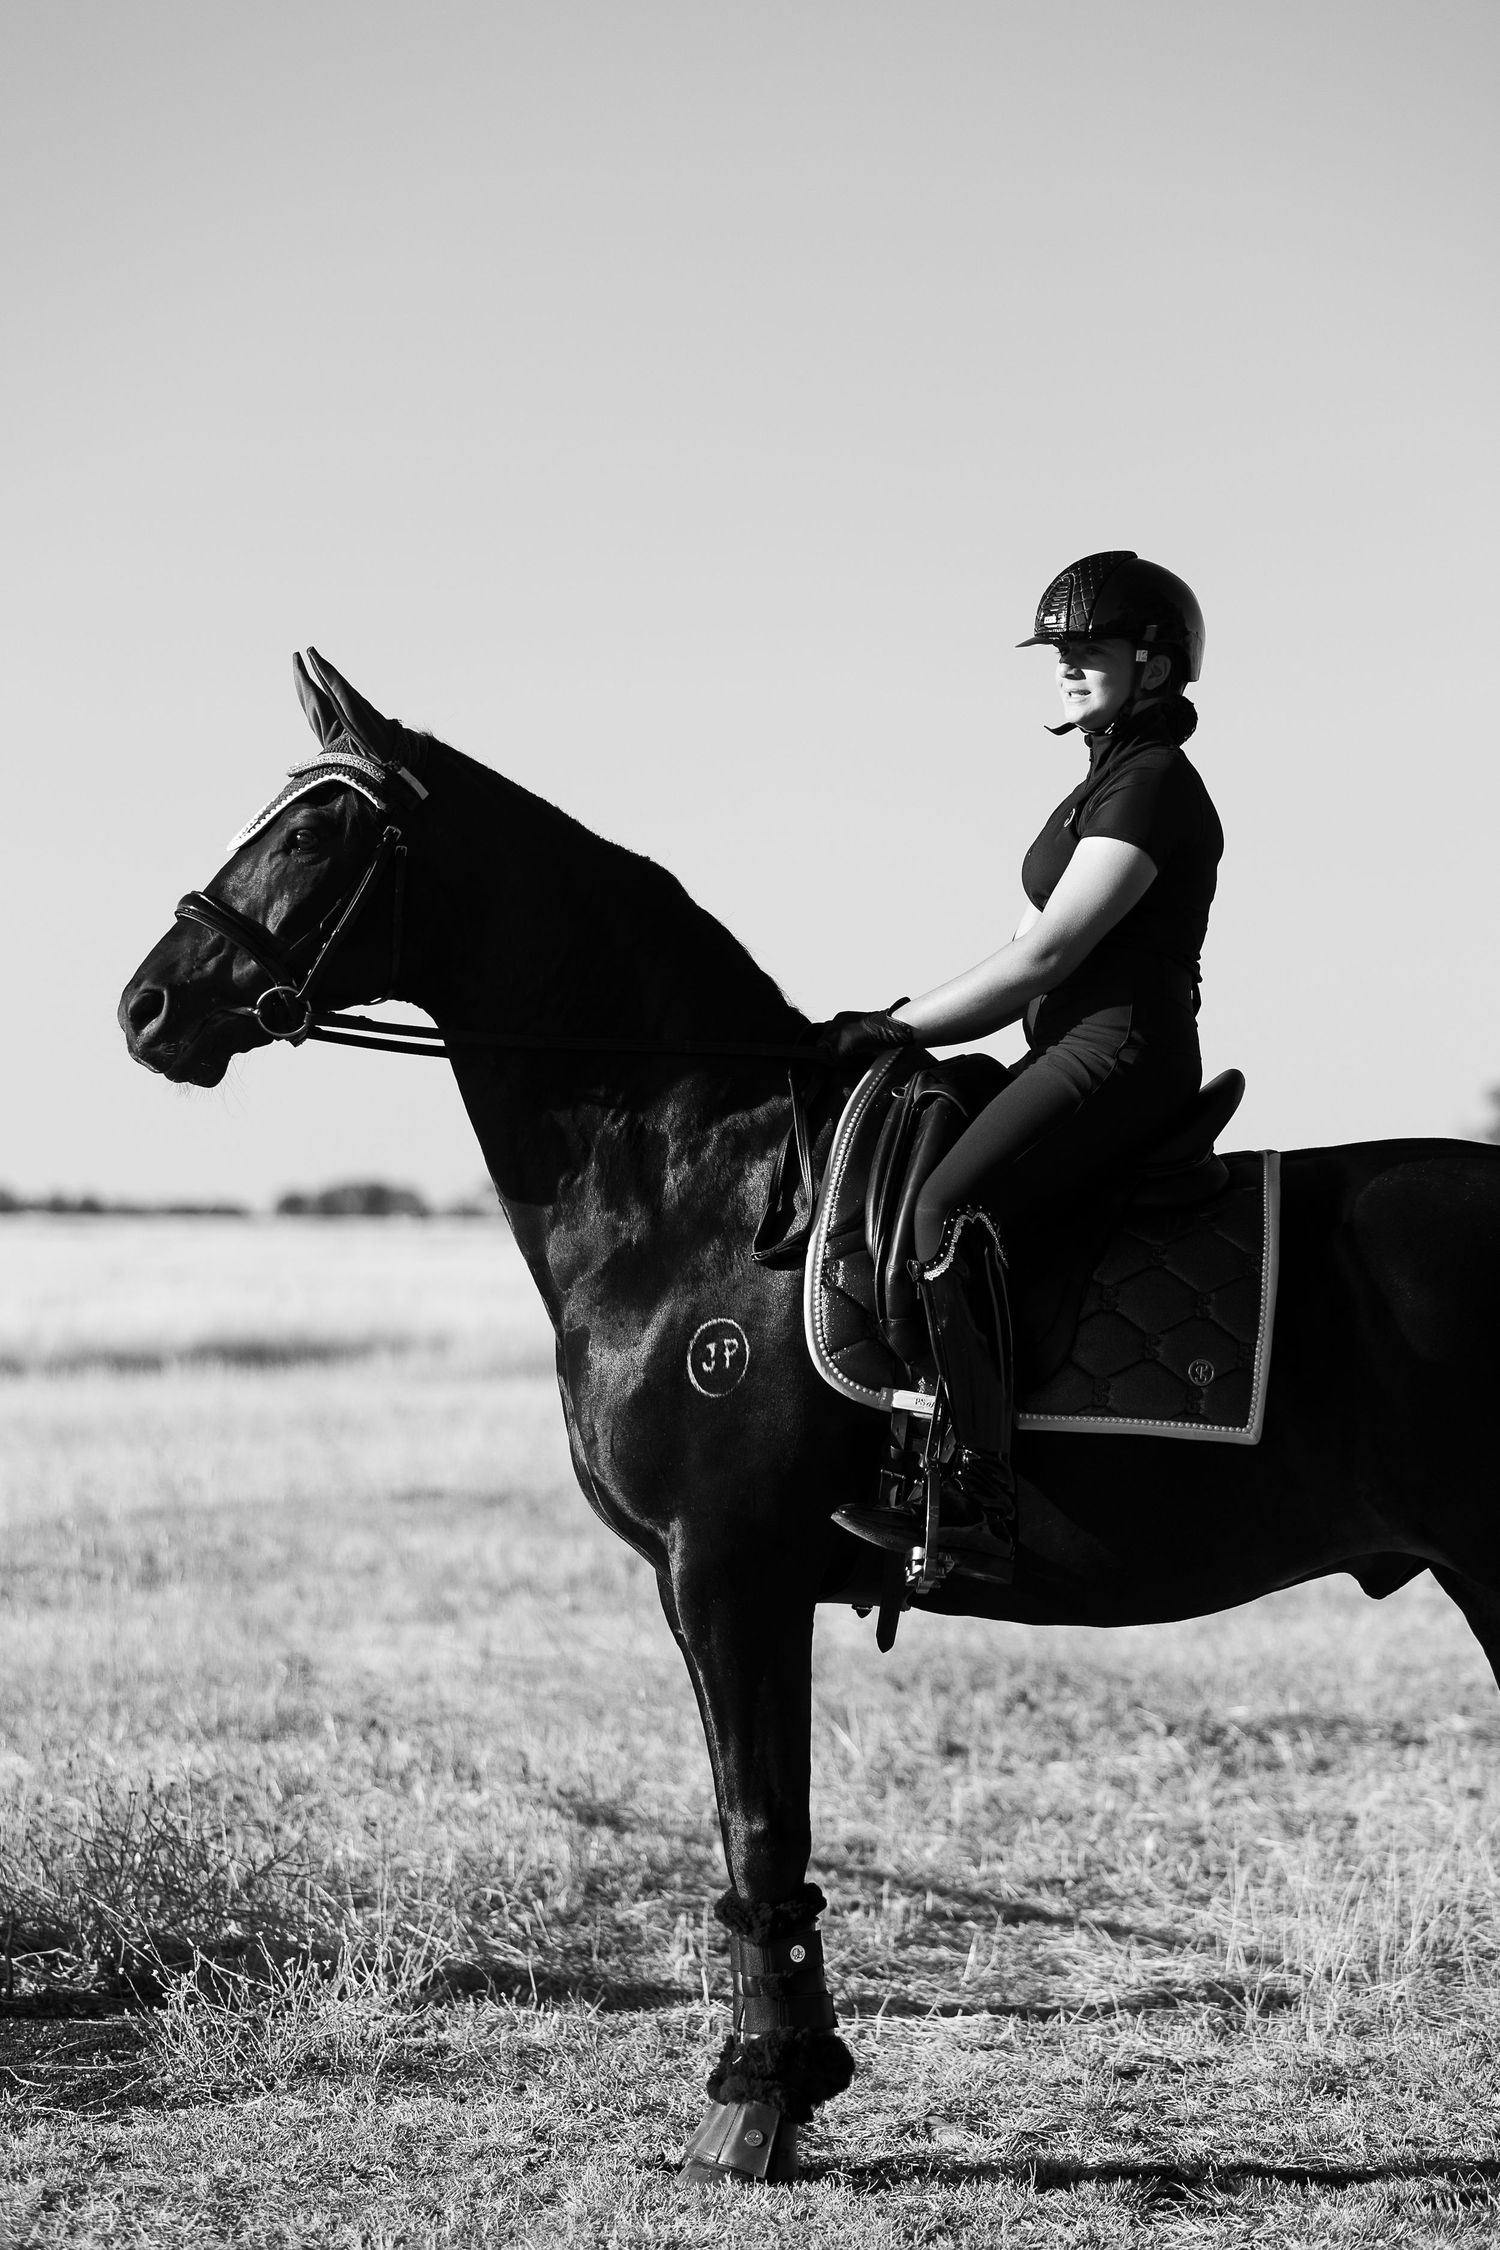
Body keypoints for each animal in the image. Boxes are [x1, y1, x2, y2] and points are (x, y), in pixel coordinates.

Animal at [119, 649, 1500, 2186]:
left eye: (313, 831)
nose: (149, 1009)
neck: (700, 1194)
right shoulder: (712, 1580)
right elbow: (753, 1824)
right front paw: (777, 2085)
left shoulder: (732, 1569)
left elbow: (759, 1826)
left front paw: (763, 2103)